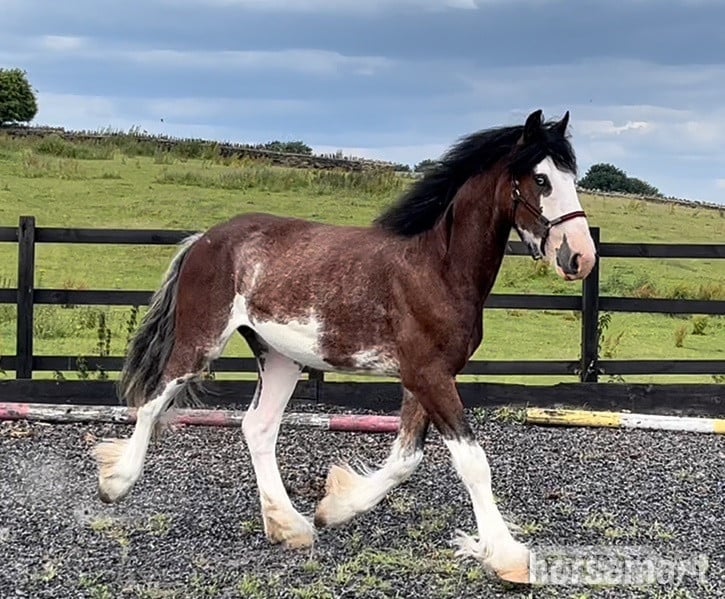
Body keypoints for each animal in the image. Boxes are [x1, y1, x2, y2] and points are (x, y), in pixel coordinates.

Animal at [92, 109, 596, 585]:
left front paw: (333, 509)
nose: (581, 257)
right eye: (541, 179)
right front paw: (509, 557)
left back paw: (289, 526)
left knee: (258, 426)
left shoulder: (427, 376)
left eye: (573, 176)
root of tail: (205, 239)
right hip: (201, 342)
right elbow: (472, 462)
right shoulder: (428, 376)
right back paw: (115, 484)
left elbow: (405, 460)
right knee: (152, 403)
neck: (437, 269)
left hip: (280, 358)